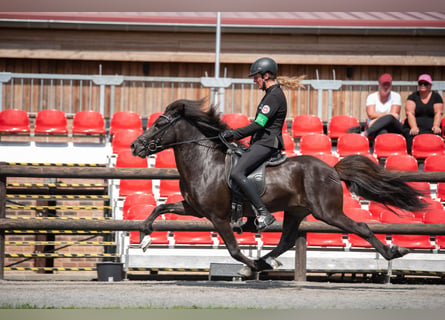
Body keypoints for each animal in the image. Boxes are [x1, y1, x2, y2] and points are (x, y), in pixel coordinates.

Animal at [132, 99, 426, 276]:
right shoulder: (193, 208)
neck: (205, 163)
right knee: (286, 240)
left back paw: (393, 251)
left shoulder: (218, 217)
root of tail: (331, 169)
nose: (135, 146)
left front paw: (251, 266)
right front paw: (144, 238)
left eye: (159, 124)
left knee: (361, 227)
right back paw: (266, 260)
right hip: (296, 210)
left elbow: (234, 250)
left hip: (327, 212)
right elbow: (158, 209)